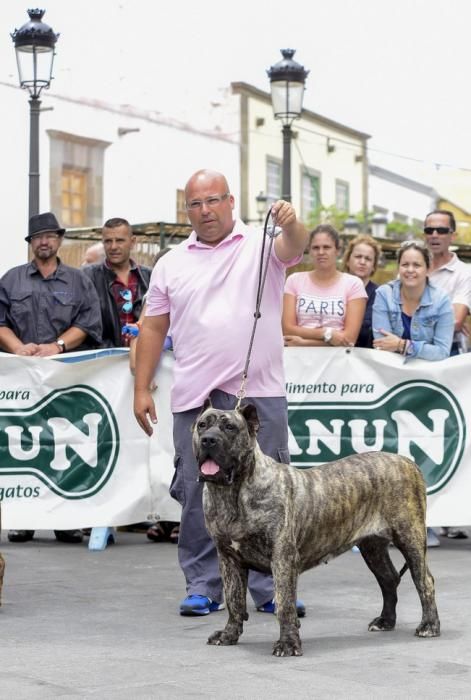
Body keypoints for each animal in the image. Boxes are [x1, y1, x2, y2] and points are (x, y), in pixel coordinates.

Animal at [193, 400, 442, 656]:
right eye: (202, 425)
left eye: (230, 428)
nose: (208, 440)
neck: (233, 492)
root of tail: (408, 462)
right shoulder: (229, 559)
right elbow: (234, 601)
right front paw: (229, 635)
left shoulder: (282, 557)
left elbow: (284, 604)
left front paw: (288, 643)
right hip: (372, 547)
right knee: (388, 579)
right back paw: (386, 621)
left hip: (410, 538)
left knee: (424, 581)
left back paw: (429, 625)